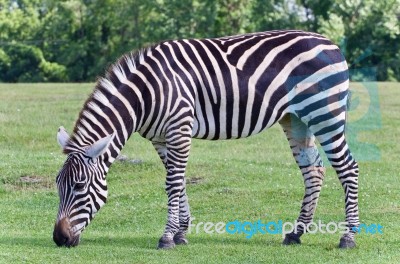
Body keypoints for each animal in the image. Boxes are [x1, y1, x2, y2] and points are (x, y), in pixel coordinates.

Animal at [52, 29, 360, 249]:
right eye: (58, 185)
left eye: (79, 187)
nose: (59, 239)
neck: (144, 95)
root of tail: (331, 43)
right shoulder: (161, 138)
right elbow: (178, 181)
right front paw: (181, 233)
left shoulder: (179, 128)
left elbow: (172, 183)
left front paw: (167, 238)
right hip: (295, 119)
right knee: (314, 171)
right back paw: (296, 233)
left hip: (324, 113)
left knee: (348, 168)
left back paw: (348, 237)